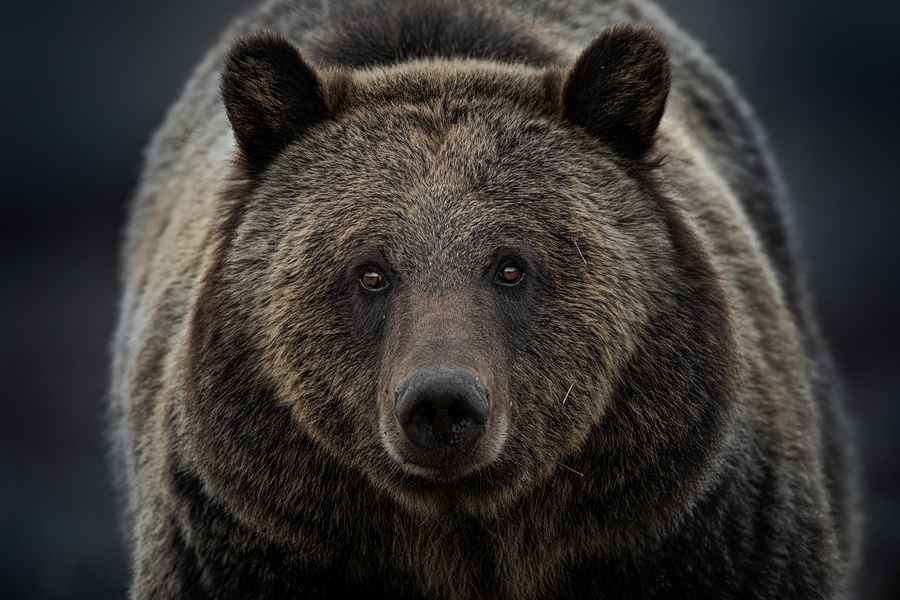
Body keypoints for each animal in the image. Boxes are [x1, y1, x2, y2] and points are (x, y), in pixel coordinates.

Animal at [110, 1, 856, 600]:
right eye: (371, 271)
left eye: (510, 266)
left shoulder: (691, 525)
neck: (467, 534)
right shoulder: (251, 531)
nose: (441, 403)